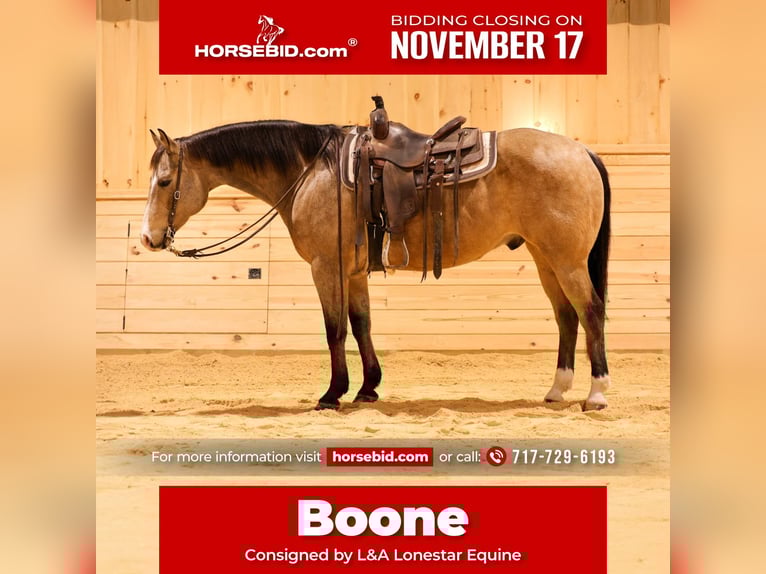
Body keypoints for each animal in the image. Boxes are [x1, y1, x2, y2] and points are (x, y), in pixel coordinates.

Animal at [141, 120, 612, 411]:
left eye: (164, 182)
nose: (148, 238)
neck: (314, 171)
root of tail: (581, 151)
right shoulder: (352, 272)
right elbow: (361, 324)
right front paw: (368, 389)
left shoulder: (326, 267)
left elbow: (335, 329)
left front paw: (332, 394)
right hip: (545, 258)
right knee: (566, 317)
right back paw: (557, 390)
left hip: (567, 261)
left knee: (590, 312)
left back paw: (597, 394)